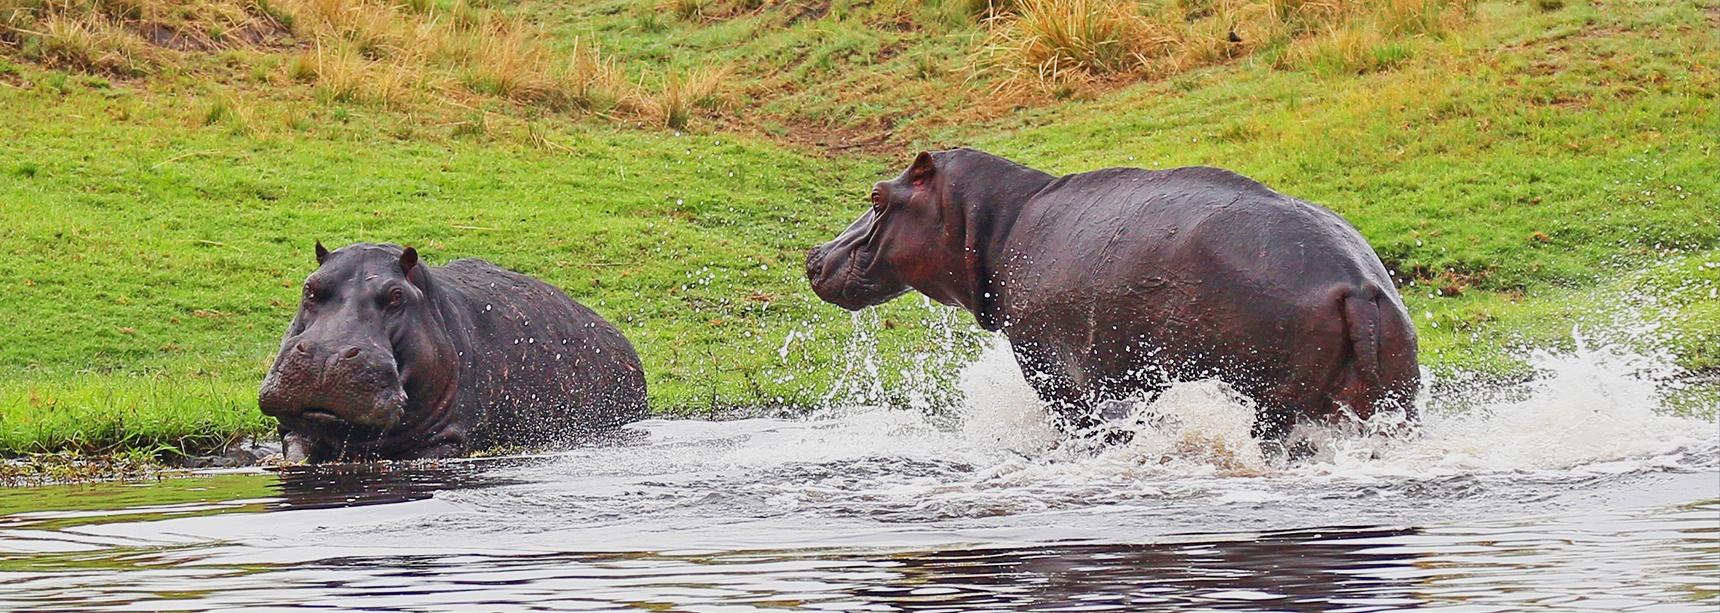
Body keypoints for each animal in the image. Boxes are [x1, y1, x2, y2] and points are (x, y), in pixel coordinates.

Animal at [811, 148, 1417, 435]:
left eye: (878, 196)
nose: (814, 255)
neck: (994, 221)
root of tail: (1358, 287)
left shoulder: (1054, 373)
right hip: (1391, 394)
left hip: (1280, 404)